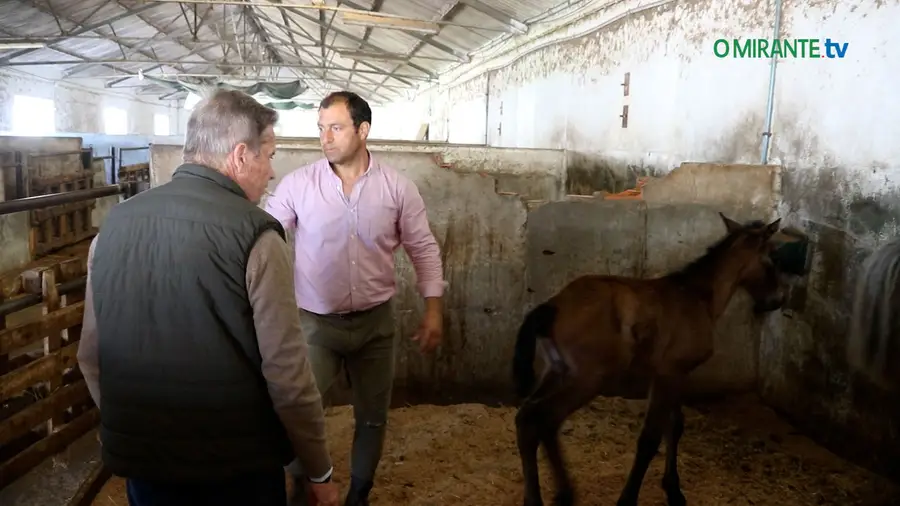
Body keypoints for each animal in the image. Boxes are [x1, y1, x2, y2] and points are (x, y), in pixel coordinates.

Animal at [512, 212, 788, 506]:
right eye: (771, 259)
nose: (777, 300)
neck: (697, 296)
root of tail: (552, 307)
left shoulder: (673, 374)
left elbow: (674, 425)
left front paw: (673, 489)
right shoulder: (670, 373)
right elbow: (650, 438)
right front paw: (629, 498)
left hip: (557, 371)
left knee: (528, 418)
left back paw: (550, 495)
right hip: (587, 380)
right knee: (542, 418)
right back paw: (554, 495)